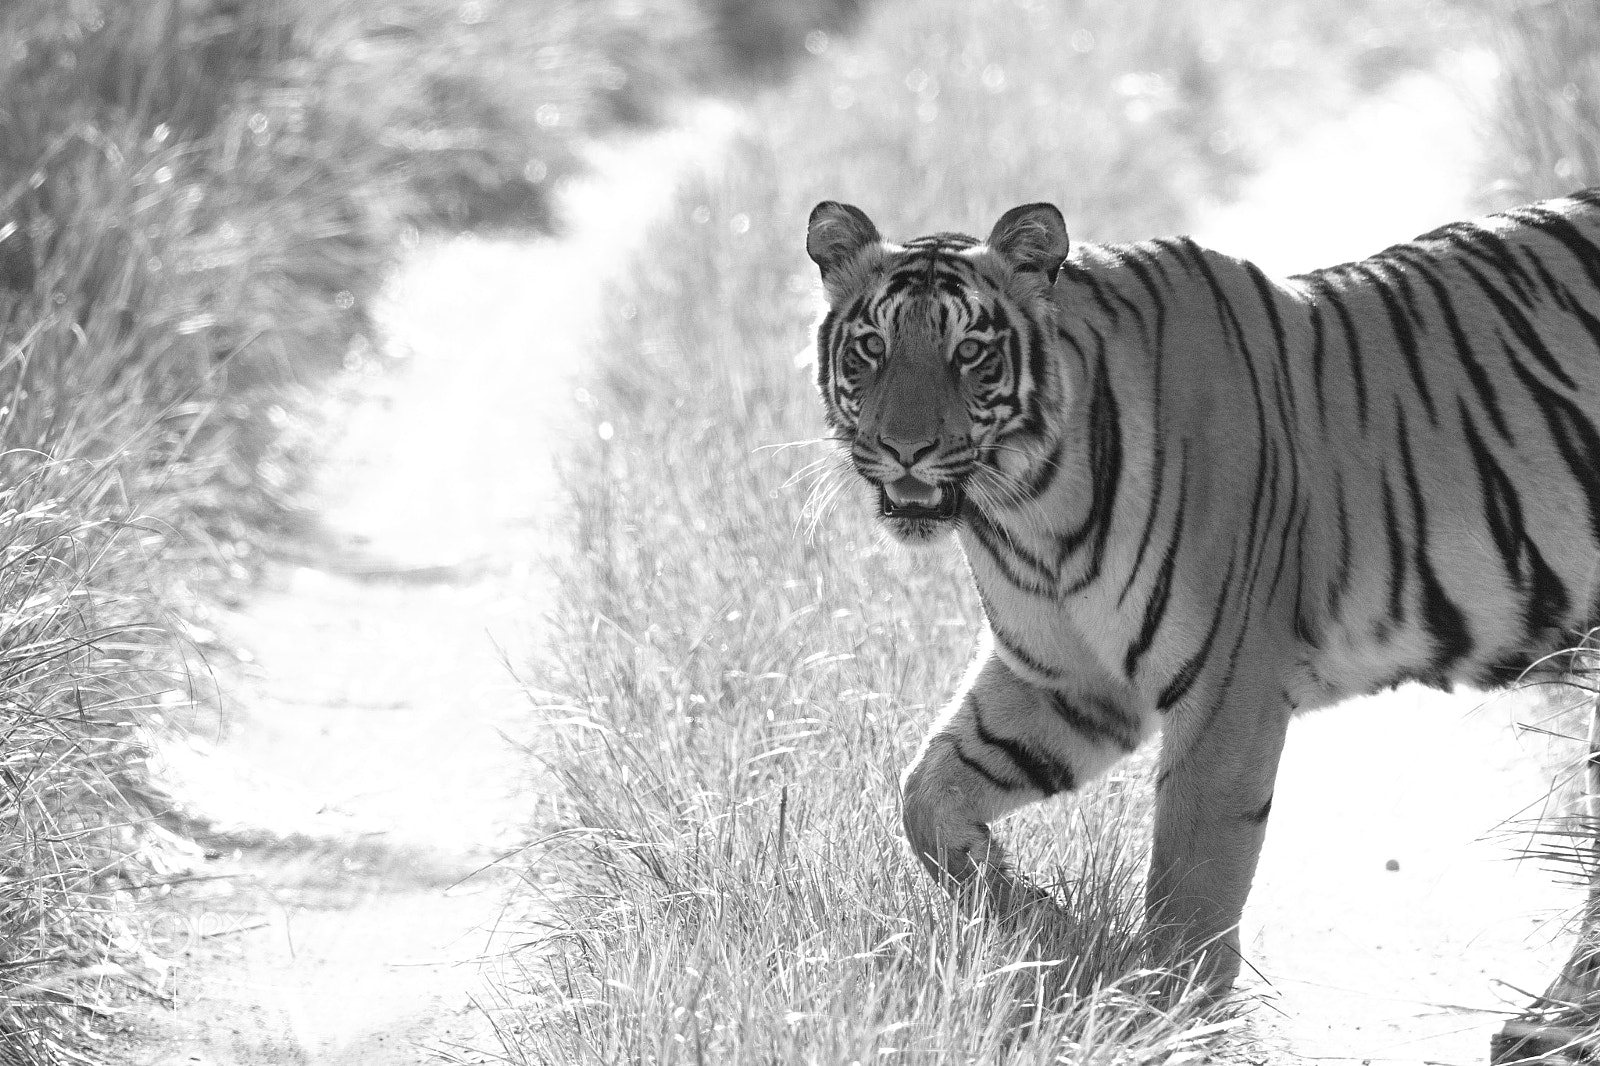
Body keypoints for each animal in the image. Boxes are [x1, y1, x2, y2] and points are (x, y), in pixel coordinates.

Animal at [803, 191, 1600, 1015]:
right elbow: (926, 795)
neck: (1027, 512)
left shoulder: (1229, 679)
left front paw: (1162, 1006)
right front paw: (1039, 921)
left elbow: (1193, 864)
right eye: (871, 346)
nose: (906, 450)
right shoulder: (1064, 677)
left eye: (969, 352)